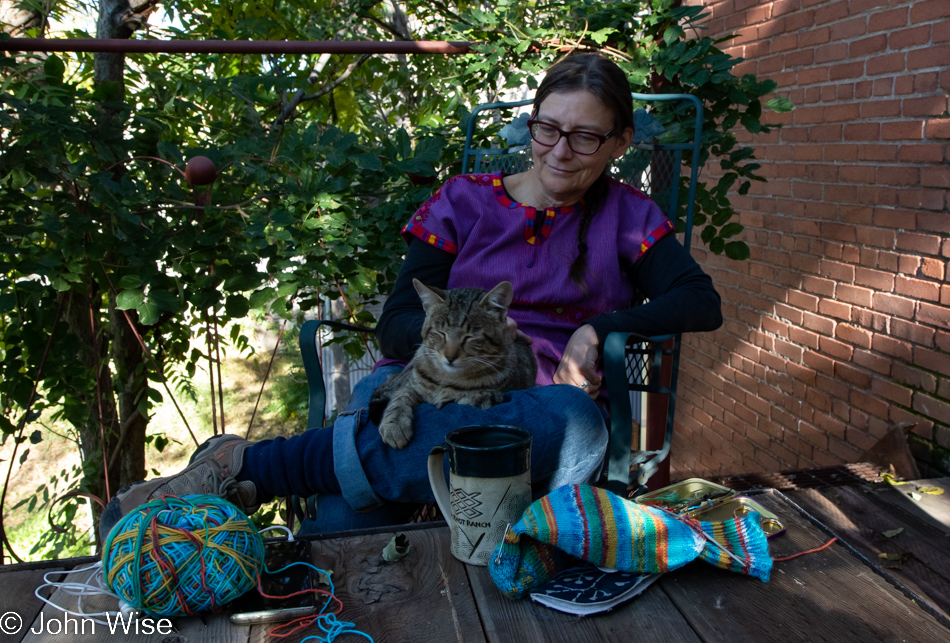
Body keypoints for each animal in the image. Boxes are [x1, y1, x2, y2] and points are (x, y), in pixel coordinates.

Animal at [370, 280, 540, 450]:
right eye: (440, 333)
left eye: (470, 337)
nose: (450, 356)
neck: (447, 379)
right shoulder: (410, 385)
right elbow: (399, 399)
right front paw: (394, 425)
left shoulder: (491, 395)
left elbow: (474, 399)